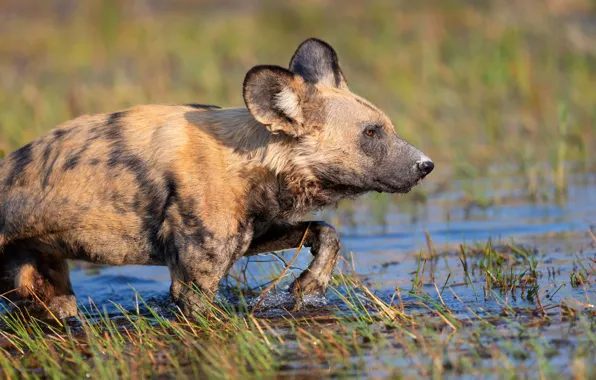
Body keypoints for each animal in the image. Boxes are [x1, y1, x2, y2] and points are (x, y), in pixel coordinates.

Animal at [0, 37, 434, 318]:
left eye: (385, 129)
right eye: (370, 133)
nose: (426, 165)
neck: (249, 160)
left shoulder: (255, 232)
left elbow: (327, 232)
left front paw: (309, 286)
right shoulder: (194, 284)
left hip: (46, 290)